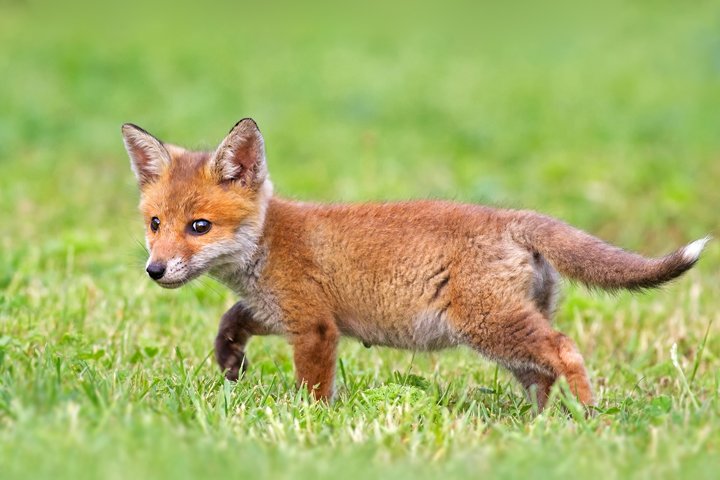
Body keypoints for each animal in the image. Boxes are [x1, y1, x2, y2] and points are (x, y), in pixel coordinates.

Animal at [122, 117, 708, 408]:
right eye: (155, 224)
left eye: (199, 227)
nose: (155, 270)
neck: (268, 241)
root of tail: (513, 217)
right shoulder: (277, 311)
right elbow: (231, 321)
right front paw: (231, 363)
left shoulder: (314, 326)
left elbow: (313, 389)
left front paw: (310, 425)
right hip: (506, 335)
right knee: (541, 373)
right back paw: (536, 428)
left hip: (490, 325)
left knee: (564, 350)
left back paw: (588, 417)